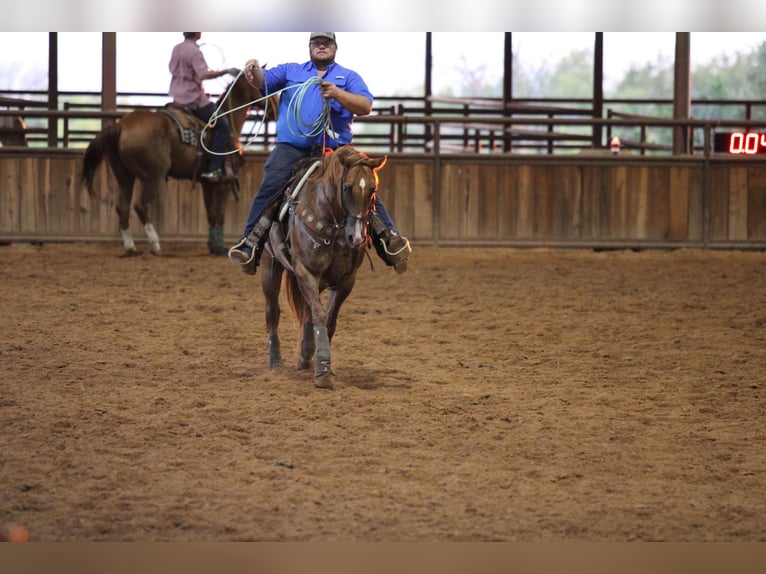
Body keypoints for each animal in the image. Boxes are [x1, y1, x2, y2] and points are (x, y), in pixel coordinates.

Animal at [81, 73, 278, 258]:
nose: (274, 110)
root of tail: (121, 125)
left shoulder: (208, 183)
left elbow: (211, 214)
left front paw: (213, 246)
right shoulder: (224, 183)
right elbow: (220, 214)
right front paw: (220, 248)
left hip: (124, 176)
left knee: (122, 208)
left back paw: (131, 248)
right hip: (152, 177)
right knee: (140, 206)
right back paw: (156, 245)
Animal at [260, 146, 390, 392]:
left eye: (373, 189)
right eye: (346, 188)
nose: (357, 237)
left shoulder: (346, 280)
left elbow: (328, 319)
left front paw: (323, 363)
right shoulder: (305, 272)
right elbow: (319, 314)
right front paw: (322, 371)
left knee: (308, 311)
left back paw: (305, 354)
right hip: (270, 266)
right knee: (273, 311)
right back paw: (274, 362)